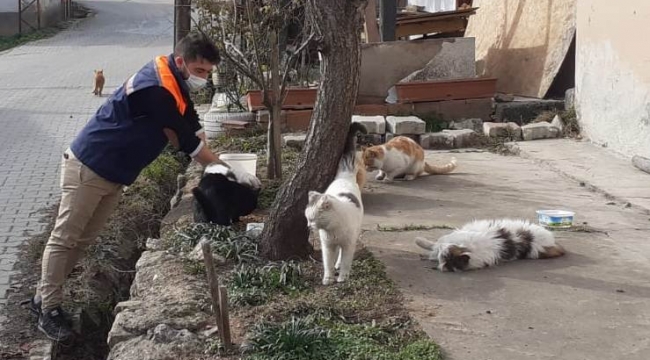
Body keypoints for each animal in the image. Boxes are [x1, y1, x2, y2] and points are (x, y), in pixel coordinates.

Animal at [302, 122, 364, 286]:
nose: (309, 226)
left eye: (314, 218)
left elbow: (346, 262)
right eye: (307, 218)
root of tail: (345, 176)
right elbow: (327, 263)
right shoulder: (327, 246)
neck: (333, 229)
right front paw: (328, 278)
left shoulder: (348, 244)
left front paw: (342, 277)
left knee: (342, 255)